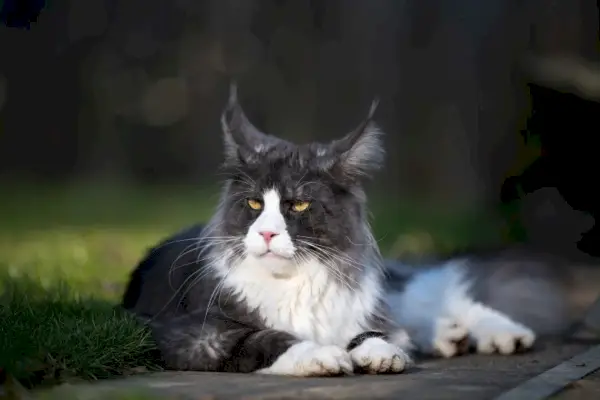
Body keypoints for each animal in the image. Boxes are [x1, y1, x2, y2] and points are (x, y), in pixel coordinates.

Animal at [120, 83, 568, 376]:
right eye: (254, 204)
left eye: (298, 204)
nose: (266, 234)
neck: (294, 281)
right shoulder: (191, 333)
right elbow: (265, 338)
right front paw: (321, 356)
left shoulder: (356, 312)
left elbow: (369, 333)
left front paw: (378, 353)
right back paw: (449, 336)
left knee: (432, 293)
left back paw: (502, 333)